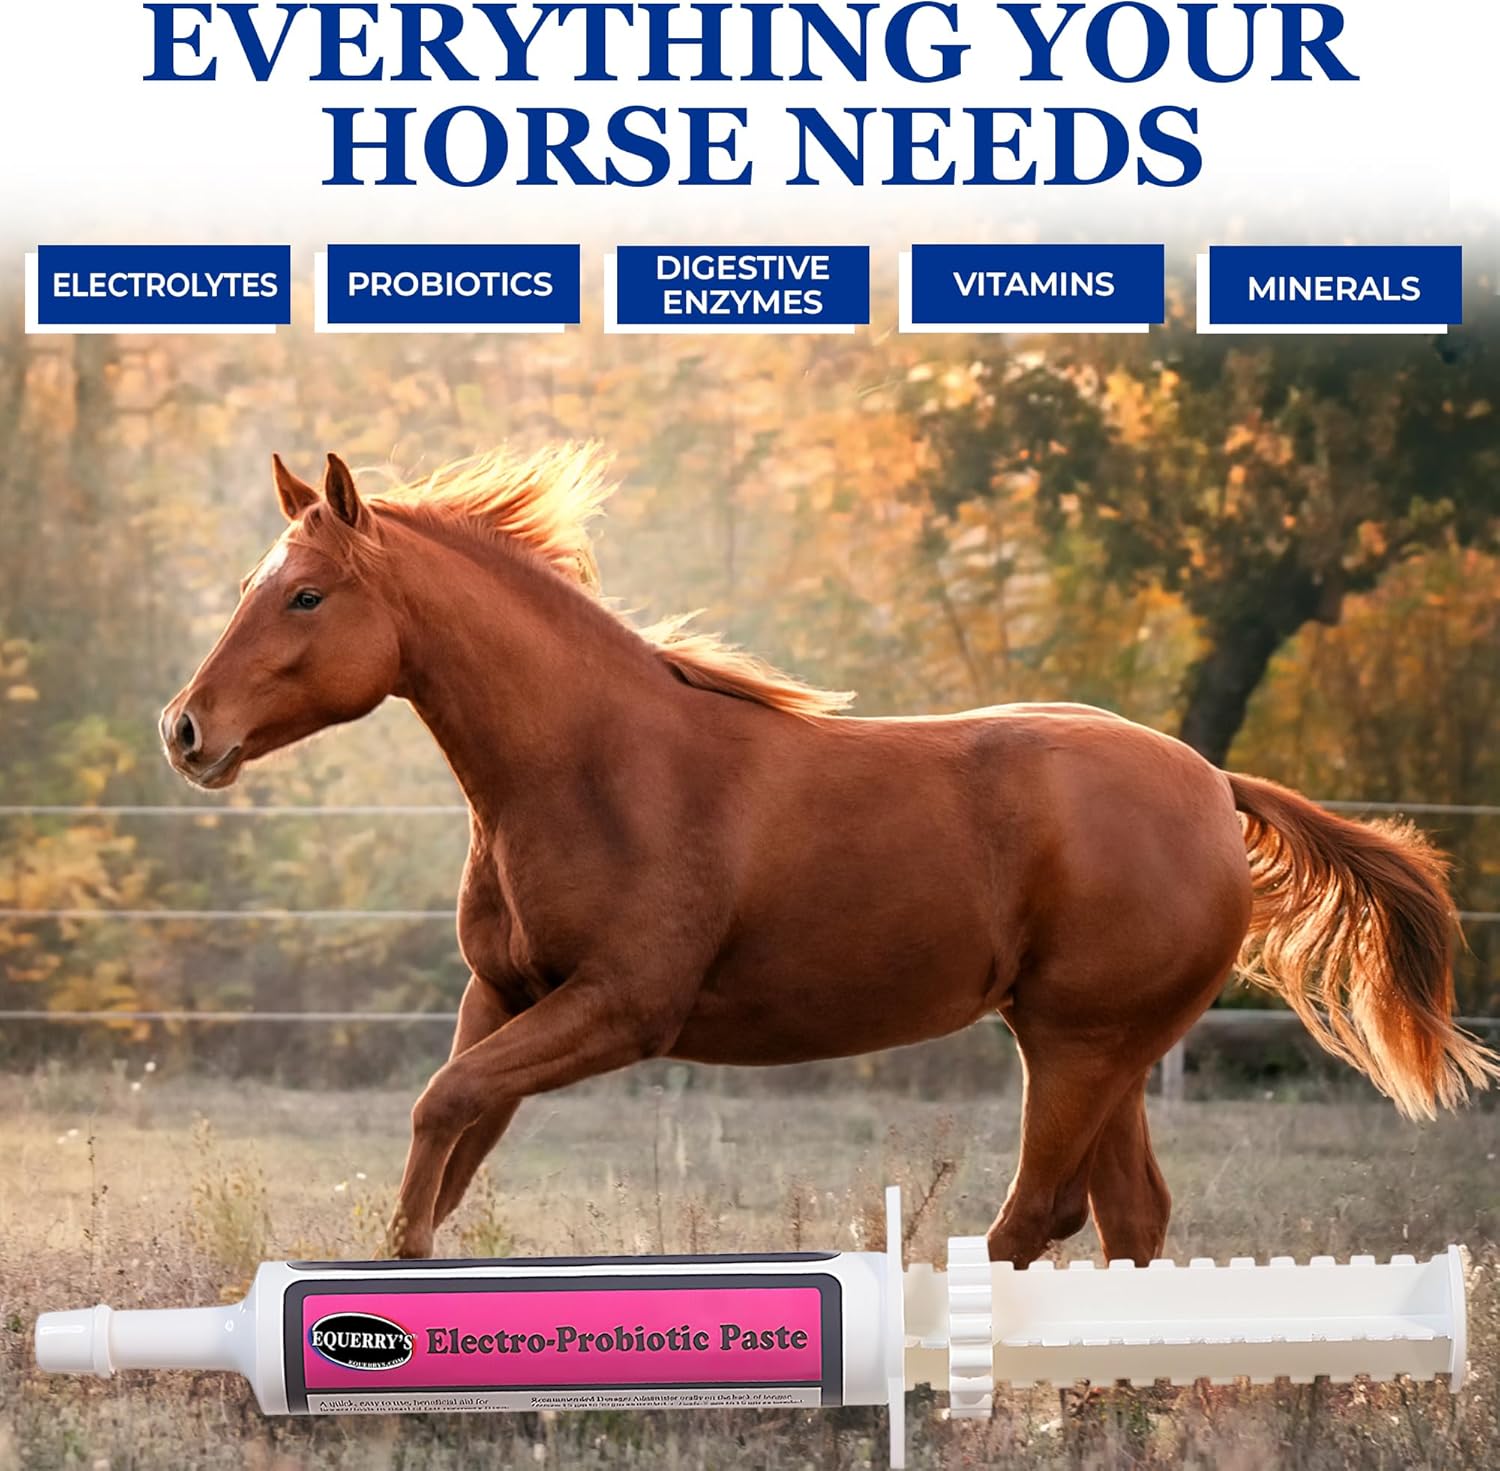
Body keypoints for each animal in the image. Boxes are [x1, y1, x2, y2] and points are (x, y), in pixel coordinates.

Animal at [161, 448, 1498, 1263]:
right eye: (258, 582)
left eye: (307, 596)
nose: (186, 730)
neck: (594, 766)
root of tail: (1214, 787)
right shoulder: (503, 993)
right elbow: (445, 1145)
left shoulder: (623, 1009)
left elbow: (445, 1107)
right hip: (1099, 1047)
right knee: (1128, 1215)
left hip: (1080, 1043)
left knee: (1040, 1215)